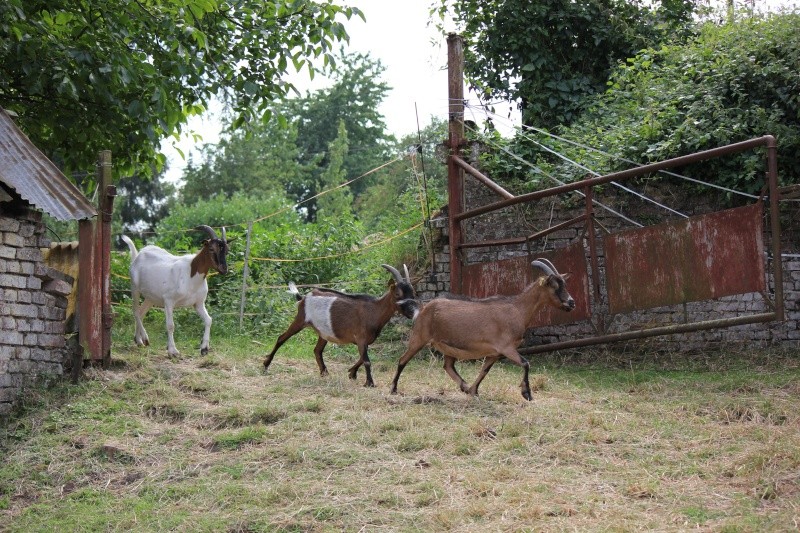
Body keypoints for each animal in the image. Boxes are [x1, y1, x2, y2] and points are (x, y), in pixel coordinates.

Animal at [390, 258, 572, 400]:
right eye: (554, 285)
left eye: (563, 283)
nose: (571, 303)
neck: (517, 309)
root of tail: (422, 309)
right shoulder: (506, 347)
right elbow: (526, 363)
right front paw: (526, 393)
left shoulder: (494, 353)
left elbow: (484, 370)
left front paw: (473, 391)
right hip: (419, 337)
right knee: (402, 360)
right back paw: (393, 389)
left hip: (448, 346)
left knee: (448, 366)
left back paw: (464, 387)